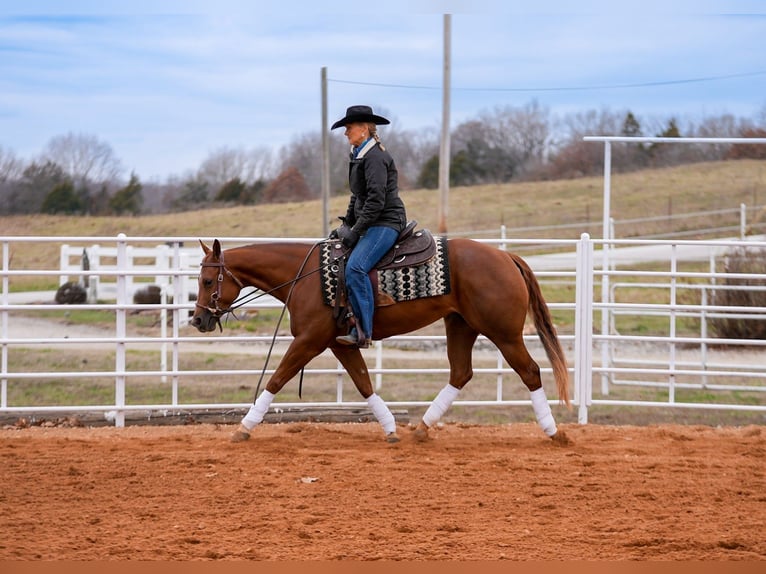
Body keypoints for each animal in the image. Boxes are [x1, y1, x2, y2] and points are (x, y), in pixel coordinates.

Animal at [195, 238, 572, 446]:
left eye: (208, 280)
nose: (198, 320)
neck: (306, 277)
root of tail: (506, 257)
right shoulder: (341, 343)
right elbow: (363, 383)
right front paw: (391, 428)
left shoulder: (308, 341)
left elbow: (276, 379)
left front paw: (244, 428)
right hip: (461, 326)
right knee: (460, 374)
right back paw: (421, 429)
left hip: (503, 333)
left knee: (530, 371)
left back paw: (554, 432)